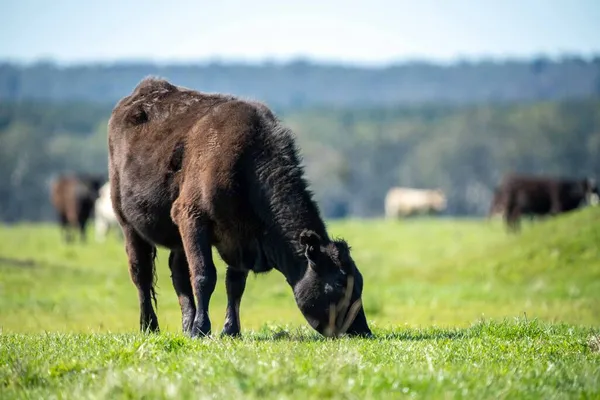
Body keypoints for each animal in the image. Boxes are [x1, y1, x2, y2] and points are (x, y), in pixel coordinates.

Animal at [108, 77, 370, 338]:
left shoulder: (240, 237)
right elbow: (204, 275)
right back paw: (150, 325)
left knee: (179, 273)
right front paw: (202, 328)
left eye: (359, 281)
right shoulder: (191, 215)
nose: (363, 330)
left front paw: (230, 329)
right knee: (141, 273)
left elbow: (234, 284)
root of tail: (146, 89)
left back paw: (186, 325)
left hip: (177, 237)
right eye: (339, 284)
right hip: (128, 222)